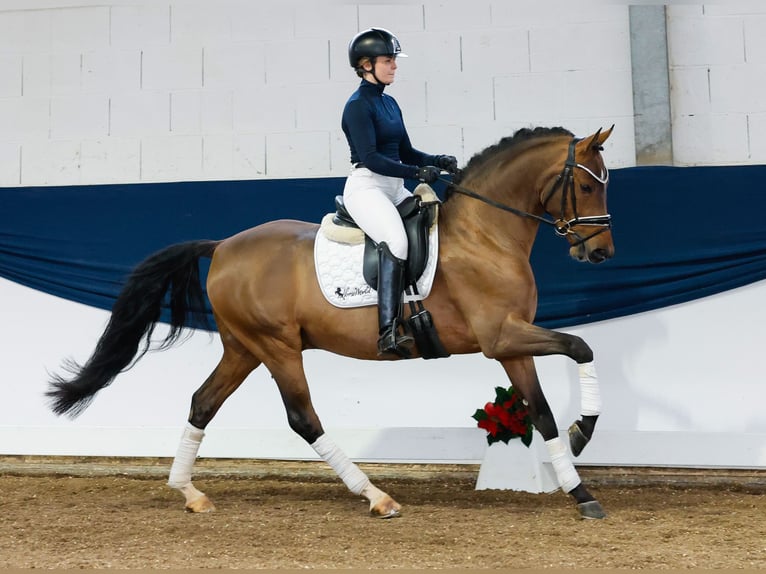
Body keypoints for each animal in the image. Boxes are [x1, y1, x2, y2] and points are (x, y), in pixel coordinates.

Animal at [46, 125, 616, 520]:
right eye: (588, 188)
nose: (601, 253)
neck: (485, 233)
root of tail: (224, 245)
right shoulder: (501, 337)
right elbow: (581, 347)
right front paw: (583, 435)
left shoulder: (512, 344)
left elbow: (541, 411)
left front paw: (579, 488)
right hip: (276, 347)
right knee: (303, 418)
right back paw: (377, 497)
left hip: (242, 347)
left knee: (203, 403)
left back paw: (190, 492)